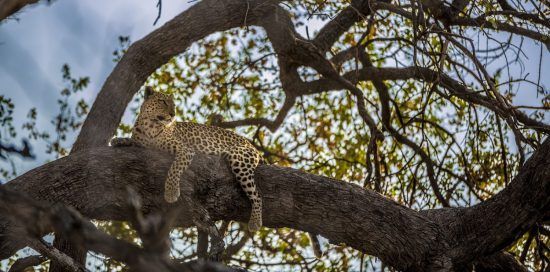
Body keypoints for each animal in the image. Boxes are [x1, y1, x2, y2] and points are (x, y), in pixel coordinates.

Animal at [132, 87, 266, 232]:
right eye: (163, 101)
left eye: (174, 105)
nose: (173, 114)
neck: (150, 125)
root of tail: (252, 146)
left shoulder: (186, 150)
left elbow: (174, 169)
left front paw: (171, 192)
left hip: (240, 159)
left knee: (257, 195)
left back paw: (255, 222)